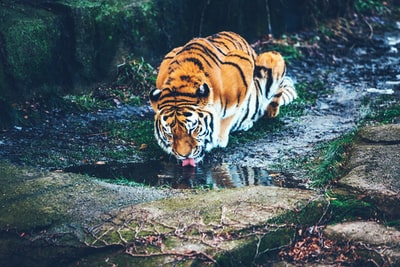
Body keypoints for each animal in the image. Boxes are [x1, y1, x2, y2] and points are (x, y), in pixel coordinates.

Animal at [150, 30, 296, 166]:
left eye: (193, 129)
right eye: (169, 133)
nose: (184, 155)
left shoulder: (243, 66)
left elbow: (228, 115)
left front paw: (219, 139)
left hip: (271, 57)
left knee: (270, 110)